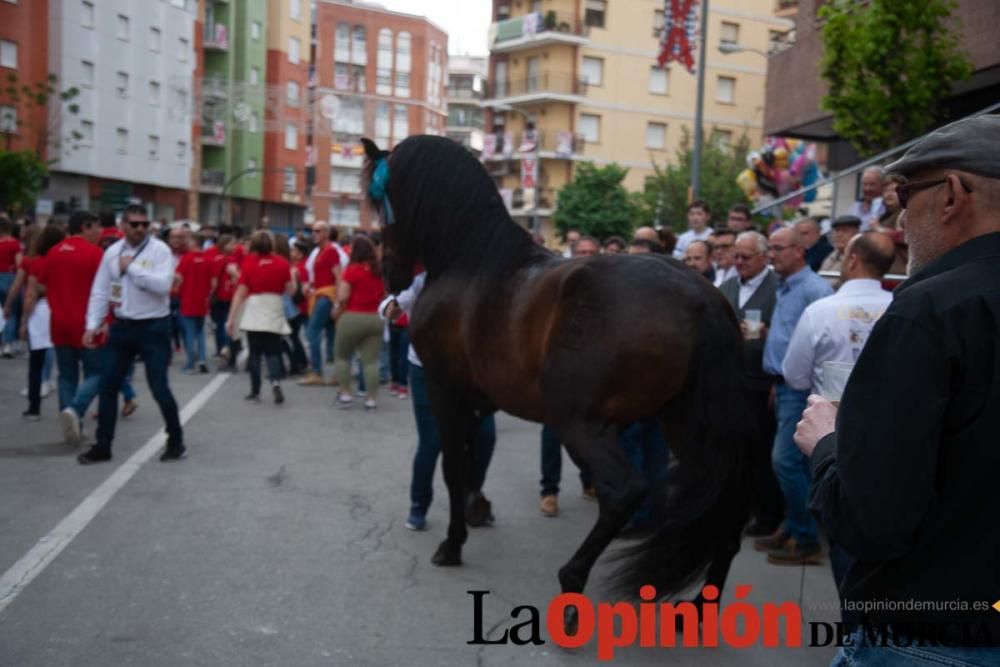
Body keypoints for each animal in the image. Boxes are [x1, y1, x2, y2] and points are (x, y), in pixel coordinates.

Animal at [362, 134, 756, 628]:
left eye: (378, 197)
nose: (389, 273)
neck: (470, 260)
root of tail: (702, 299)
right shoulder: (477, 399)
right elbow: (473, 460)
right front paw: (477, 510)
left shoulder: (444, 387)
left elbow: (453, 466)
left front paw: (452, 544)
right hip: (687, 424)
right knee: (724, 506)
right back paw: (701, 606)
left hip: (582, 424)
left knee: (625, 492)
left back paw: (572, 584)